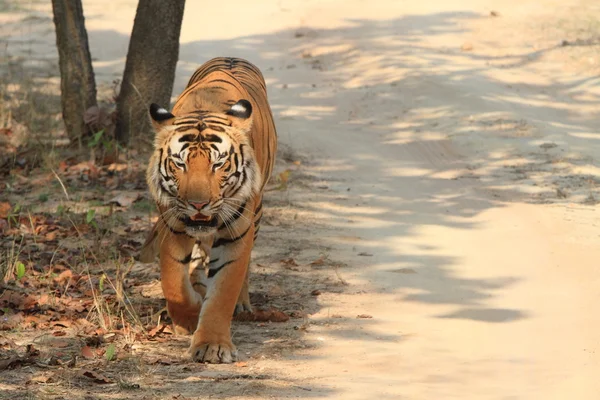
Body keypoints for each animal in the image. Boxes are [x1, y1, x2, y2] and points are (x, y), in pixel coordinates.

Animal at [138, 57, 276, 366]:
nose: (198, 204)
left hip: (257, 214)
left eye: (218, 164)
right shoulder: (172, 225)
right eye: (180, 164)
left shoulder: (238, 232)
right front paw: (188, 319)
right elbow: (173, 282)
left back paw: (241, 304)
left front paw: (212, 345)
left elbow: (224, 290)